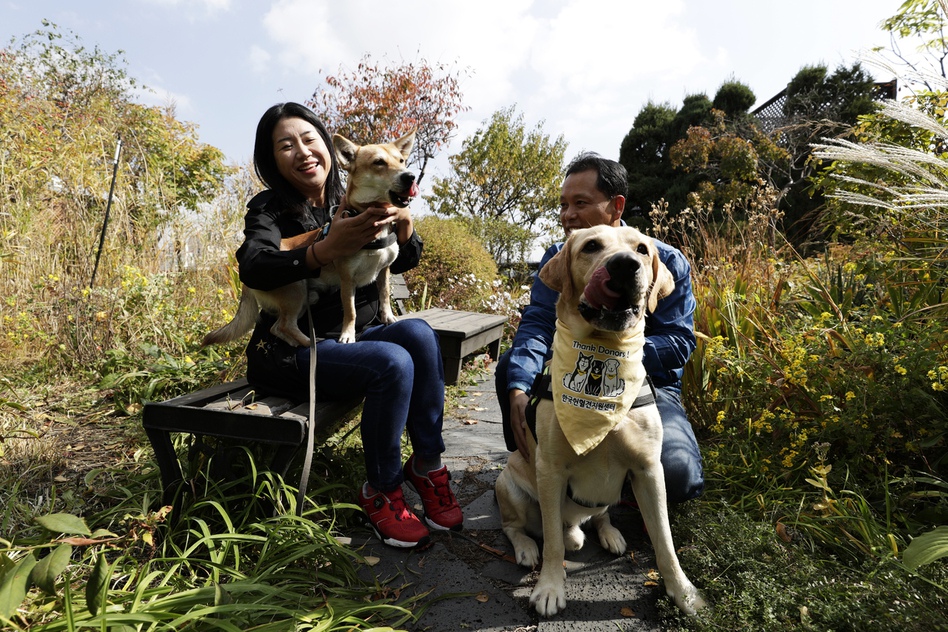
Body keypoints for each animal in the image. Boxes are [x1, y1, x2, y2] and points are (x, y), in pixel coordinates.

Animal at [204, 131, 414, 348]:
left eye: (401, 160)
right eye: (378, 162)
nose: (410, 177)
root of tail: (243, 279)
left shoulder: (384, 271)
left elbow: (385, 296)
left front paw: (388, 317)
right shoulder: (347, 280)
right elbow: (351, 312)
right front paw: (348, 334)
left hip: (306, 298)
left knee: (278, 327)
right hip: (296, 291)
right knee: (284, 325)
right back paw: (313, 343)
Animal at [496, 223, 704, 616]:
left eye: (642, 249)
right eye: (591, 246)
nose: (624, 265)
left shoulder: (649, 470)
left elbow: (665, 541)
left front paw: (684, 593)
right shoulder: (550, 471)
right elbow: (553, 544)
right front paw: (549, 588)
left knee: (598, 516)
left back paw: (609, 534)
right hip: (509, 486)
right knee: (520, 527)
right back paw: (528, 548)